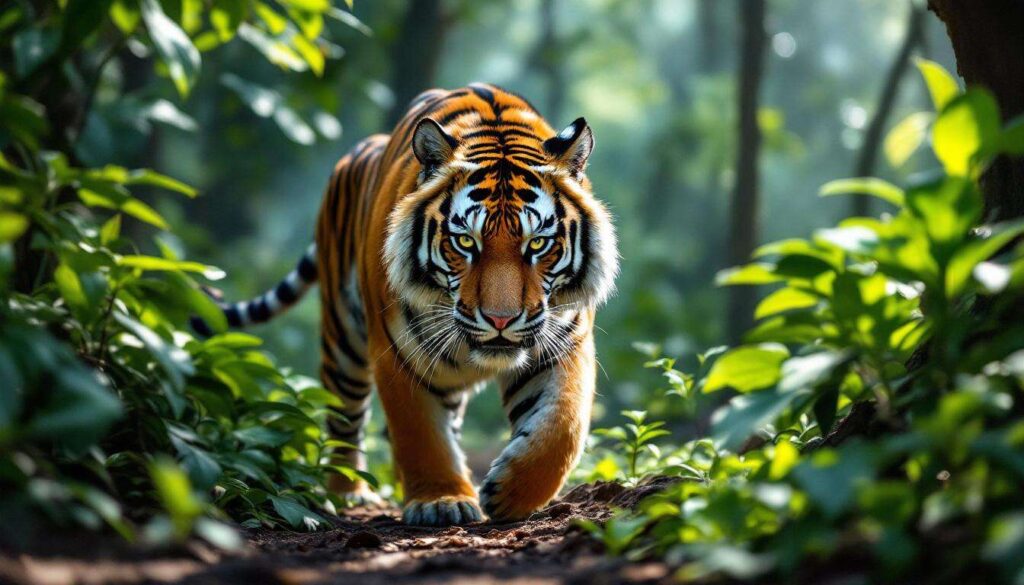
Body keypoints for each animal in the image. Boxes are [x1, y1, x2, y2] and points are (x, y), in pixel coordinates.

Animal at [193, 83, 619, 525]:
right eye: (464, 241)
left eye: (537, 244)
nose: (500, 320)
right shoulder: (398, 350)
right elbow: (419, 431)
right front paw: (441, 501)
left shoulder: (563, 341)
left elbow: (563, 425)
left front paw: (510, 494)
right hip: (344, 341)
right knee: (344, 418)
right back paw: (349, 492)